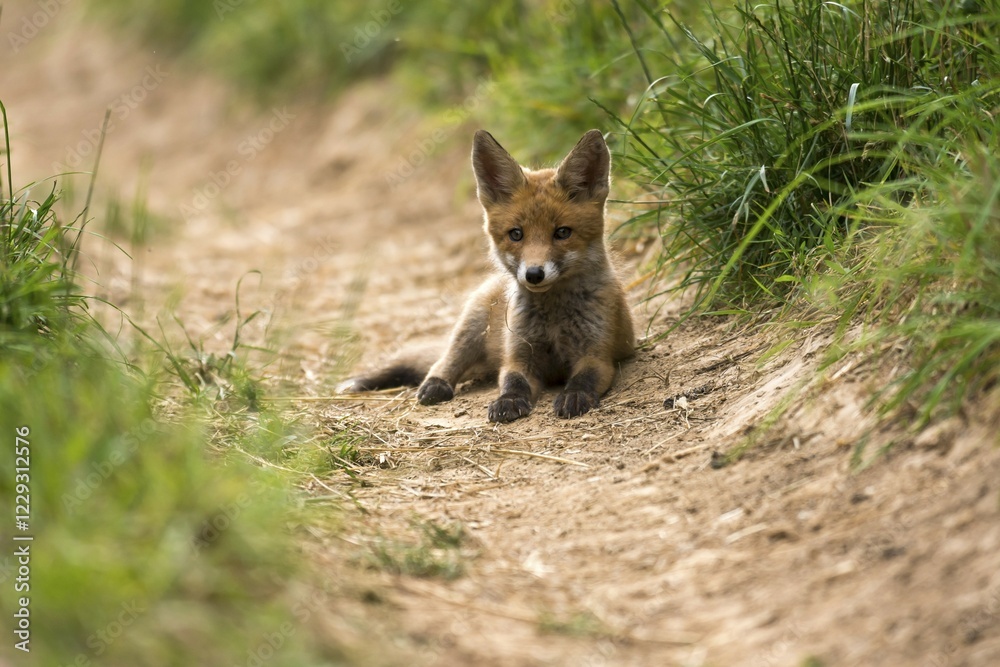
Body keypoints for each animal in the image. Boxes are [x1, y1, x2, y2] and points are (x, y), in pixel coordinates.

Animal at [339, 129, 635, 422]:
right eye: (516, 234)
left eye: (562, 232)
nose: (534, 274)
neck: (553, 319)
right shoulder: (517, 357)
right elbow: (513, 382)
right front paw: (508, 401)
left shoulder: (597, 355)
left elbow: (583, 379)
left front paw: (574, 396)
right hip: (471, 327)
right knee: (442, 362)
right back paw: (435, 385)